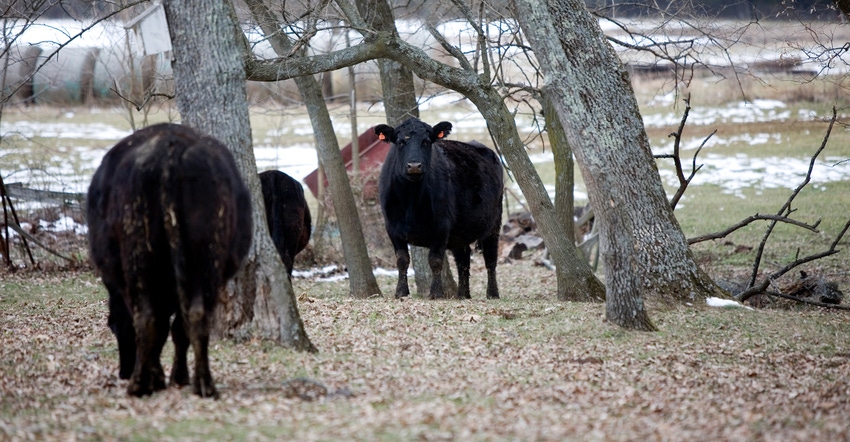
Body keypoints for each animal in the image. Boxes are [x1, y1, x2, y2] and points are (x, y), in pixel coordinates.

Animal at [374, 117, 500, 298]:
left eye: (426, 141)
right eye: (400, 142)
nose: (414, 165)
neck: (411, 198)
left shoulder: (441, 226)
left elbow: (435, 260)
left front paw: (436, 293)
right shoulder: (392, 227)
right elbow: (402, 260)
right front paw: (401, 292)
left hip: (494, 223)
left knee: (490, 259)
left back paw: (492, 293)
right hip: (460, 232)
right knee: (463, 261)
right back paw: (463, 294)